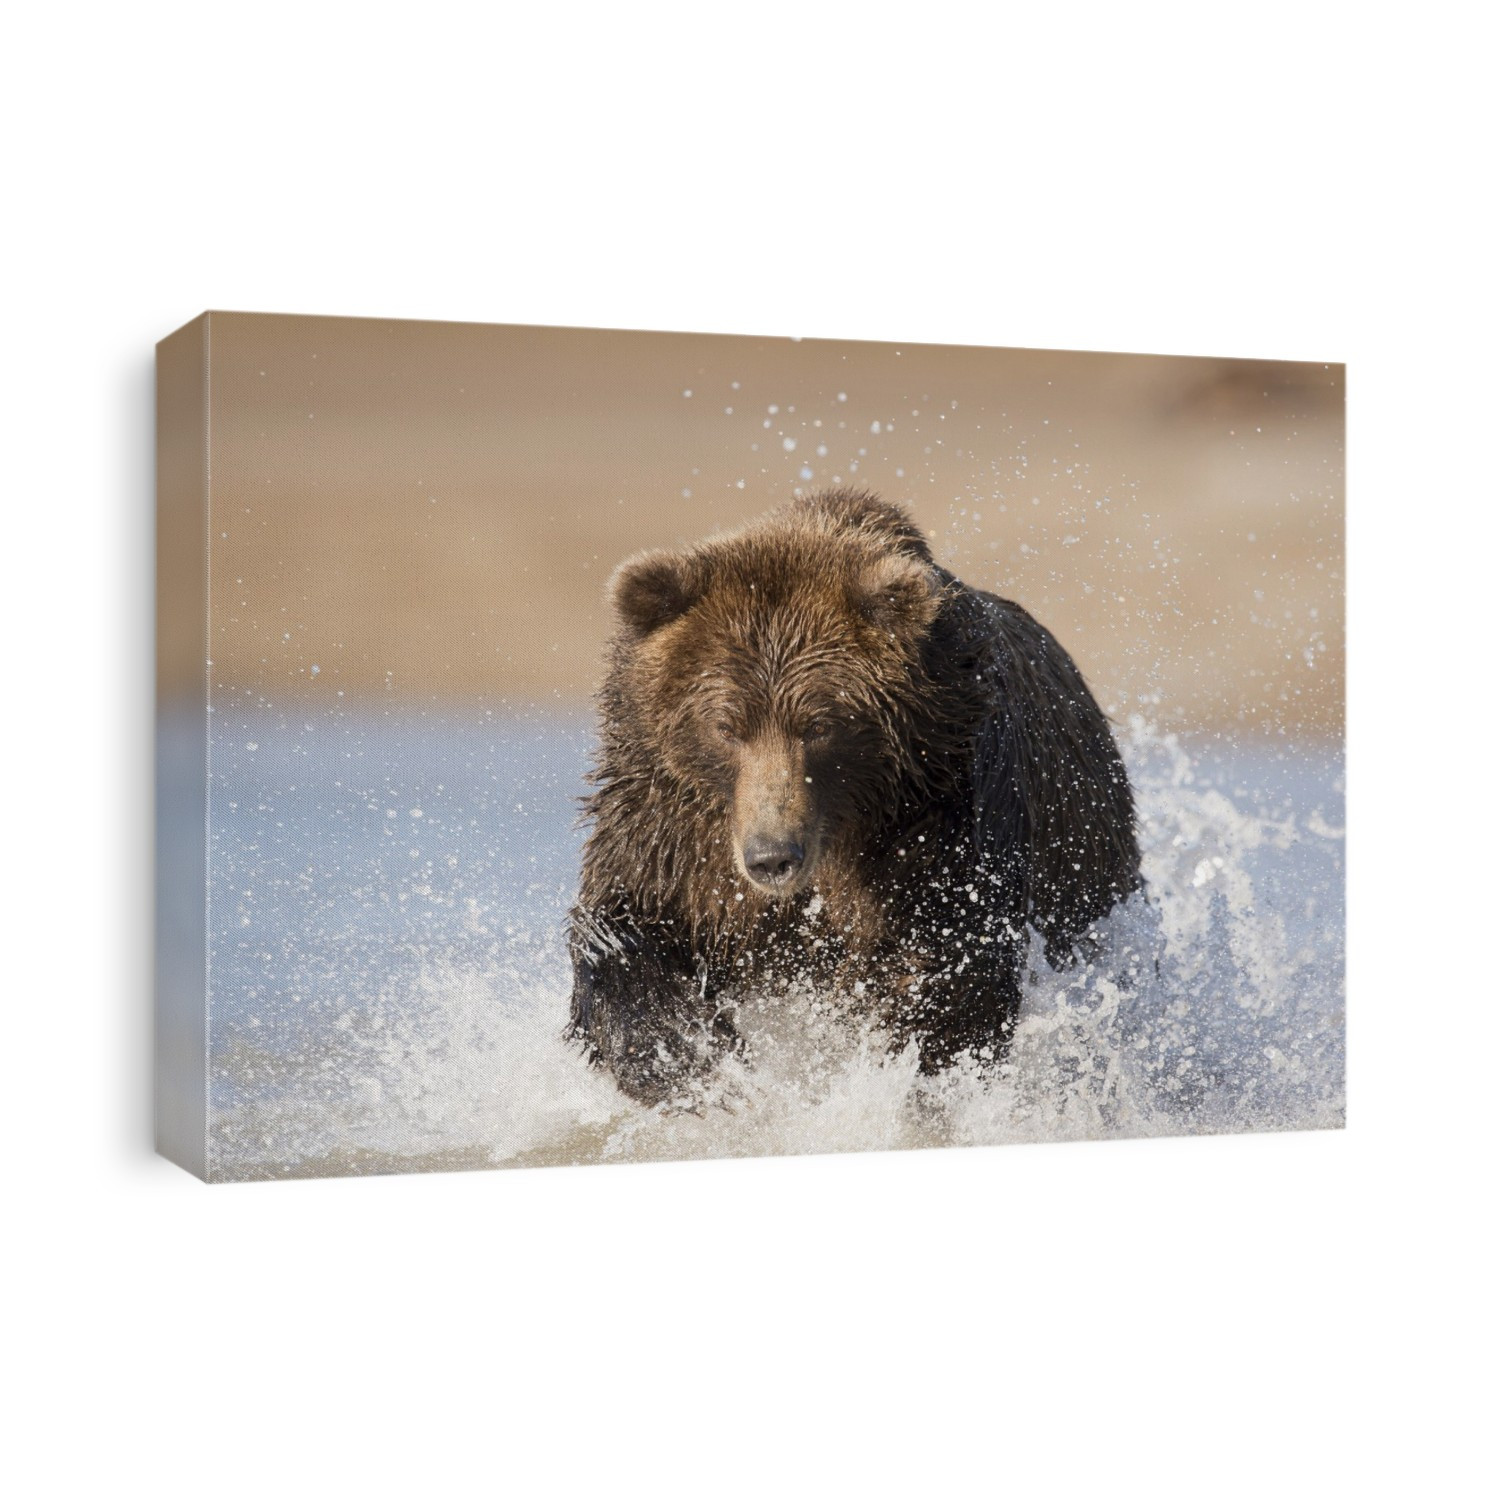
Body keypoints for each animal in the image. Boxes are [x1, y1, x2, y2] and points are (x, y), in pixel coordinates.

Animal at [567, 487, 1140, 1107]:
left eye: (818, 725)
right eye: (726, 726)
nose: (772, 857)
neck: (839, 827)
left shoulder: (939, 812)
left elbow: (954, 964)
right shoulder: (675, 827)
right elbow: (625, 918)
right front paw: (685, 1054)